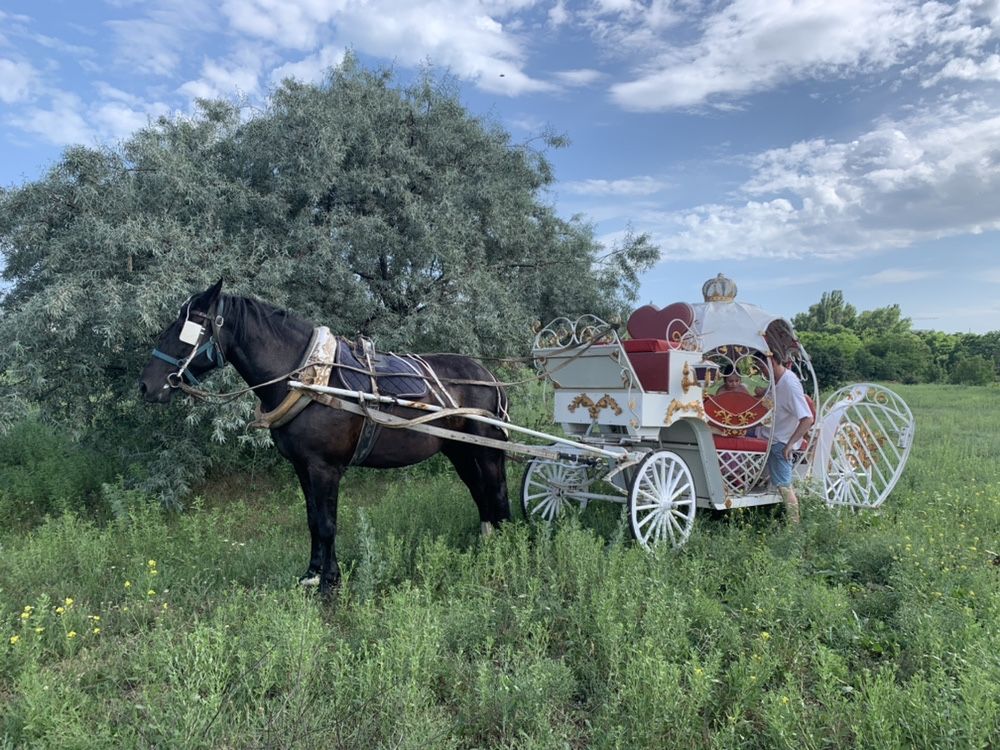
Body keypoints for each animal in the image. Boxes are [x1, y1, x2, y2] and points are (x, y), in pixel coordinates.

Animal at [138, 282, 512, 592]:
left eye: (187, 330)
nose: (146, 386)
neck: (308, 378)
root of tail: (488, 375)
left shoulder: (325, 468)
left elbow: (328, 523)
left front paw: (330, 583)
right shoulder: (303, 467)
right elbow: (312, 521)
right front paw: (312, 574)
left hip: (487, 450)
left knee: (495, 489)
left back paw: (507, 545)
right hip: (460, 450)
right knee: (479, 492)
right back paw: (487, 541)